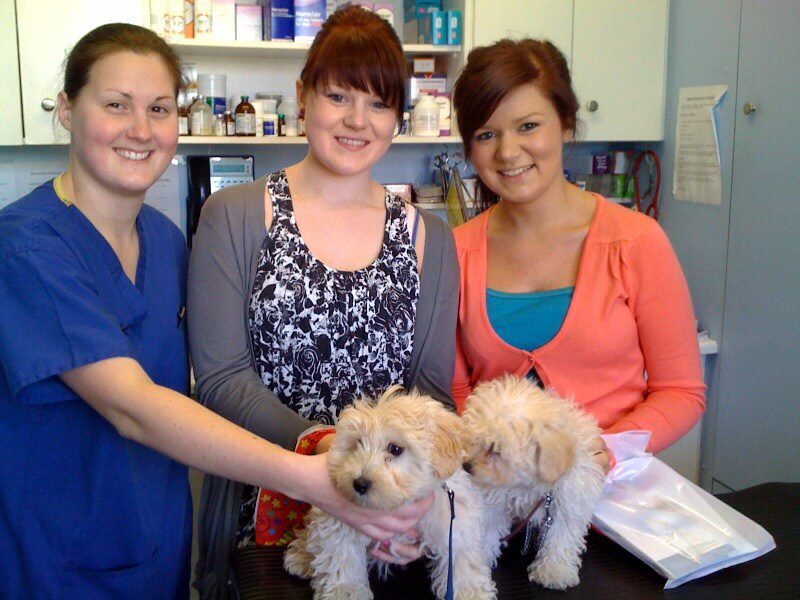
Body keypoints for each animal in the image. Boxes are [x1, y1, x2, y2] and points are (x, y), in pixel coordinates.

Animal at [284, 386, 497, 600]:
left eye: (395, 449)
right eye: (357, 442)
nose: (360, 483)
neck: (401, 503)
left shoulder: (454, 521)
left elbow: (462, 558)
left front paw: (470, 592)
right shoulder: (340, 518)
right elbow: (341, 556)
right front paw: (346, 591)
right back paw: (301, 556)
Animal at [461, 375, 605, 590]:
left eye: (495, 450)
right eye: (474, 439)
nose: (466, 466)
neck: (527, 486)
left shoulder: (569, 501)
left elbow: (561, 537)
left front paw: (554, 572)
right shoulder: (495, 501)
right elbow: (488, 529)